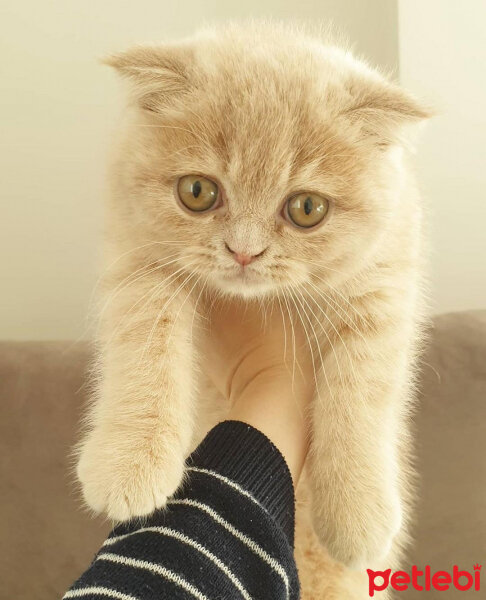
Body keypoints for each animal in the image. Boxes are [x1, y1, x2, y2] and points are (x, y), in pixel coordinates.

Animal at [77, 22, 430, 600]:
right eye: (197, 191)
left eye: (307, 209)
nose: (244, 252)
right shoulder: (135, 255)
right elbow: (144, 341)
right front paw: (128, 462)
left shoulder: (384, 282)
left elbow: (363, 387)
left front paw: (357, 511)